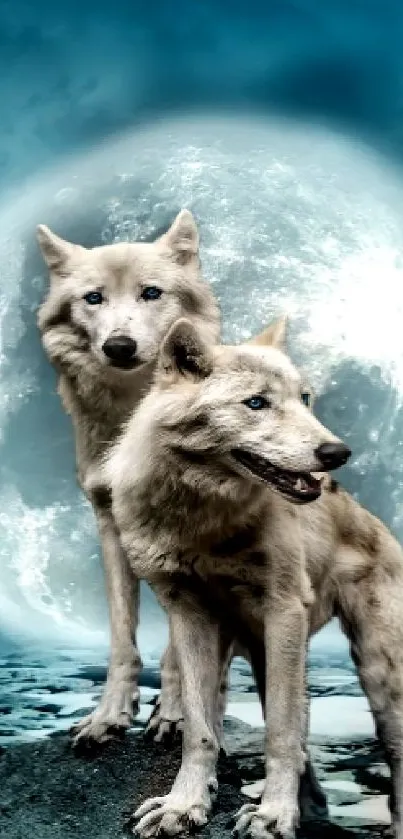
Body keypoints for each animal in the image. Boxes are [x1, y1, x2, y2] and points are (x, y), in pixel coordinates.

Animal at [36, 210, 220, 746]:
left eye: (151, 293)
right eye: (94, 297)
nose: (119, 346)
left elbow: (180, 647)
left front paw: (175, 715)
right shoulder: (109, 525)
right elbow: (122, 639)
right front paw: (108, 717)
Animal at [106, 315, 403, 839]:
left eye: (304, 399)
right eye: (257, 403)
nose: (337, 452)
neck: (204, 523)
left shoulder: (283, 611)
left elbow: (281, 734)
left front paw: (273, 815)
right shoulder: (189, 615)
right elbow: (201, 728)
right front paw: (185, 805)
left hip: (378, 673)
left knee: (391, 755)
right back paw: (307, 808)